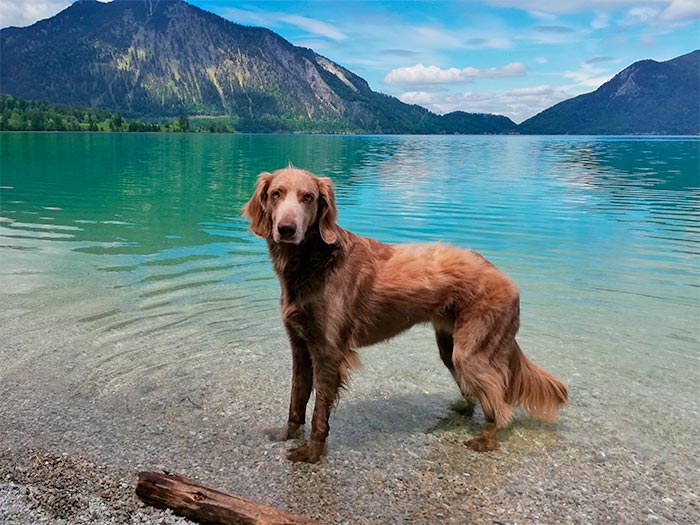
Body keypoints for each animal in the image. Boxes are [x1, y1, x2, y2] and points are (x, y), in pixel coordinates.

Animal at [243, 168, 568, 462]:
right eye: (276, 194)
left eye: (308, 197)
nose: (286, 228)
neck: (314, 261)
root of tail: (507, 280)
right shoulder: (300, 346)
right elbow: (296, 399)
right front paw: (287, 435)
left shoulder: (328, 353)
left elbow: (319, 412)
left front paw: (312, 453)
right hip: (450, 348)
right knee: (479, 394)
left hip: (472, 352)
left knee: (500, 406)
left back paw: (485, 440)